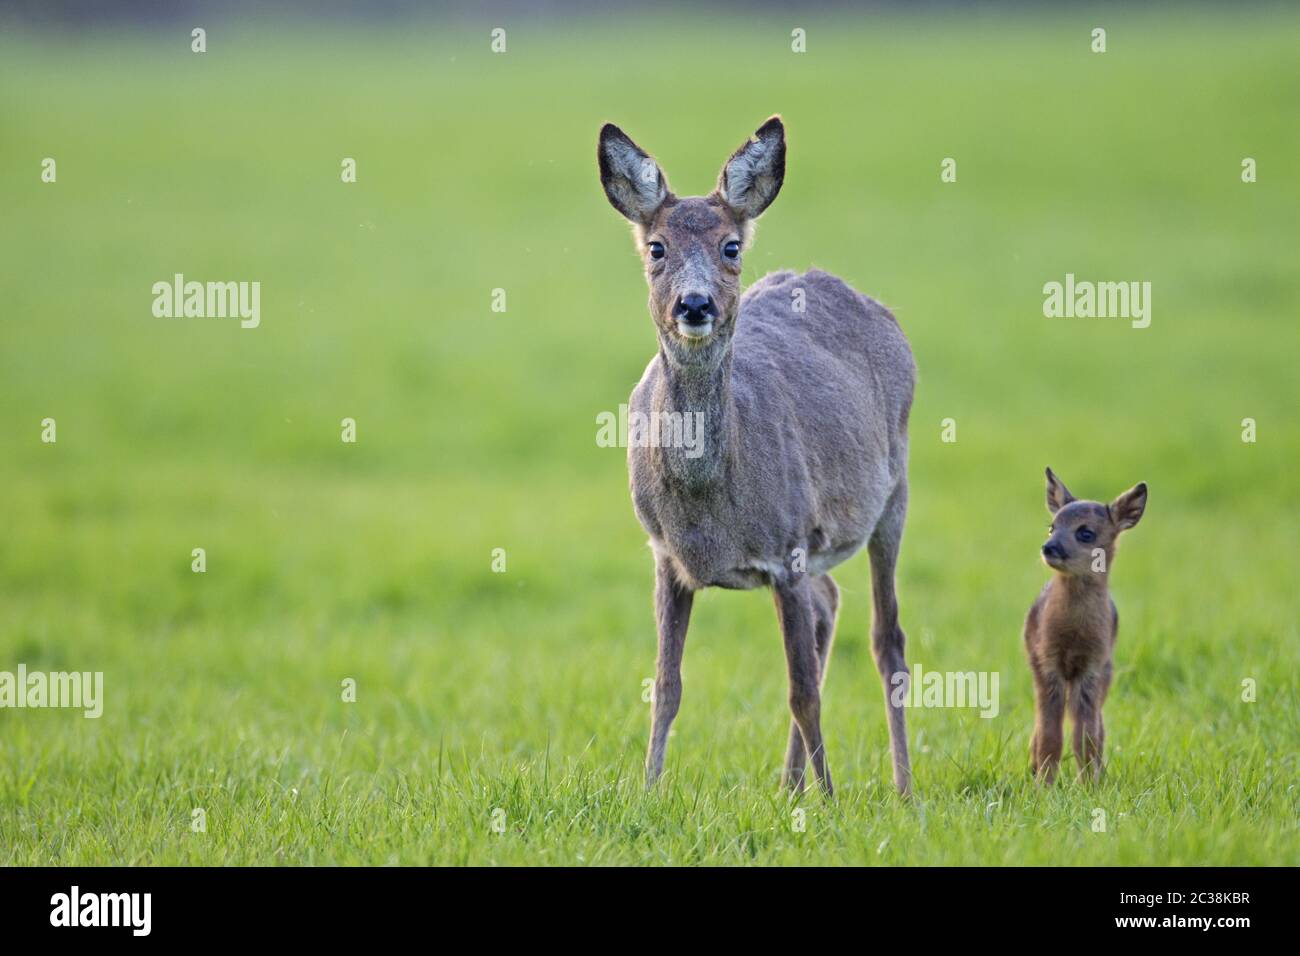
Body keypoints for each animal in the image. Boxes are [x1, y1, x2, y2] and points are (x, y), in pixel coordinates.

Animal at [598, 115, 915, 796]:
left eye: (730, 247)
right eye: (656, 247)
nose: (694, 305)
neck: (708, 504)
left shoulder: (785, 548)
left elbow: (802, 692)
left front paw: (830, 800)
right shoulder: (664, 555)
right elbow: (666, 686)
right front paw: (648, 790)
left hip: (892, 495)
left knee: (887, 639)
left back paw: (900, 788)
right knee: (831, 605)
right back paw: (789, 783)